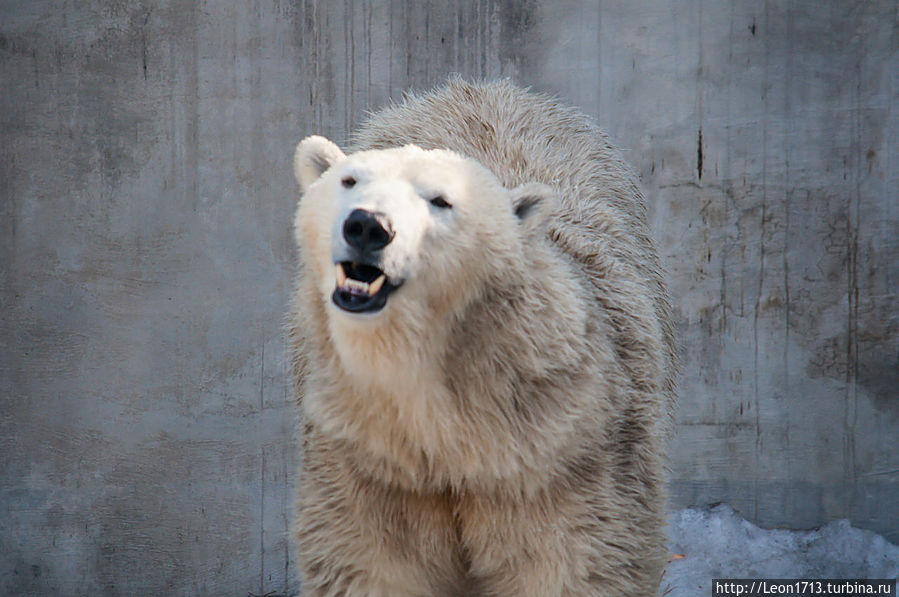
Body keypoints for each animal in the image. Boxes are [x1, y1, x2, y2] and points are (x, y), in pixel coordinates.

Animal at [292, 79, 680, 596]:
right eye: (349, 181)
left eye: (441, 200)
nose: (368, 226)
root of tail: (482, 87)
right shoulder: (368, 462)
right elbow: (375, 564)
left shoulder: (561, 456)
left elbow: (573, 564)